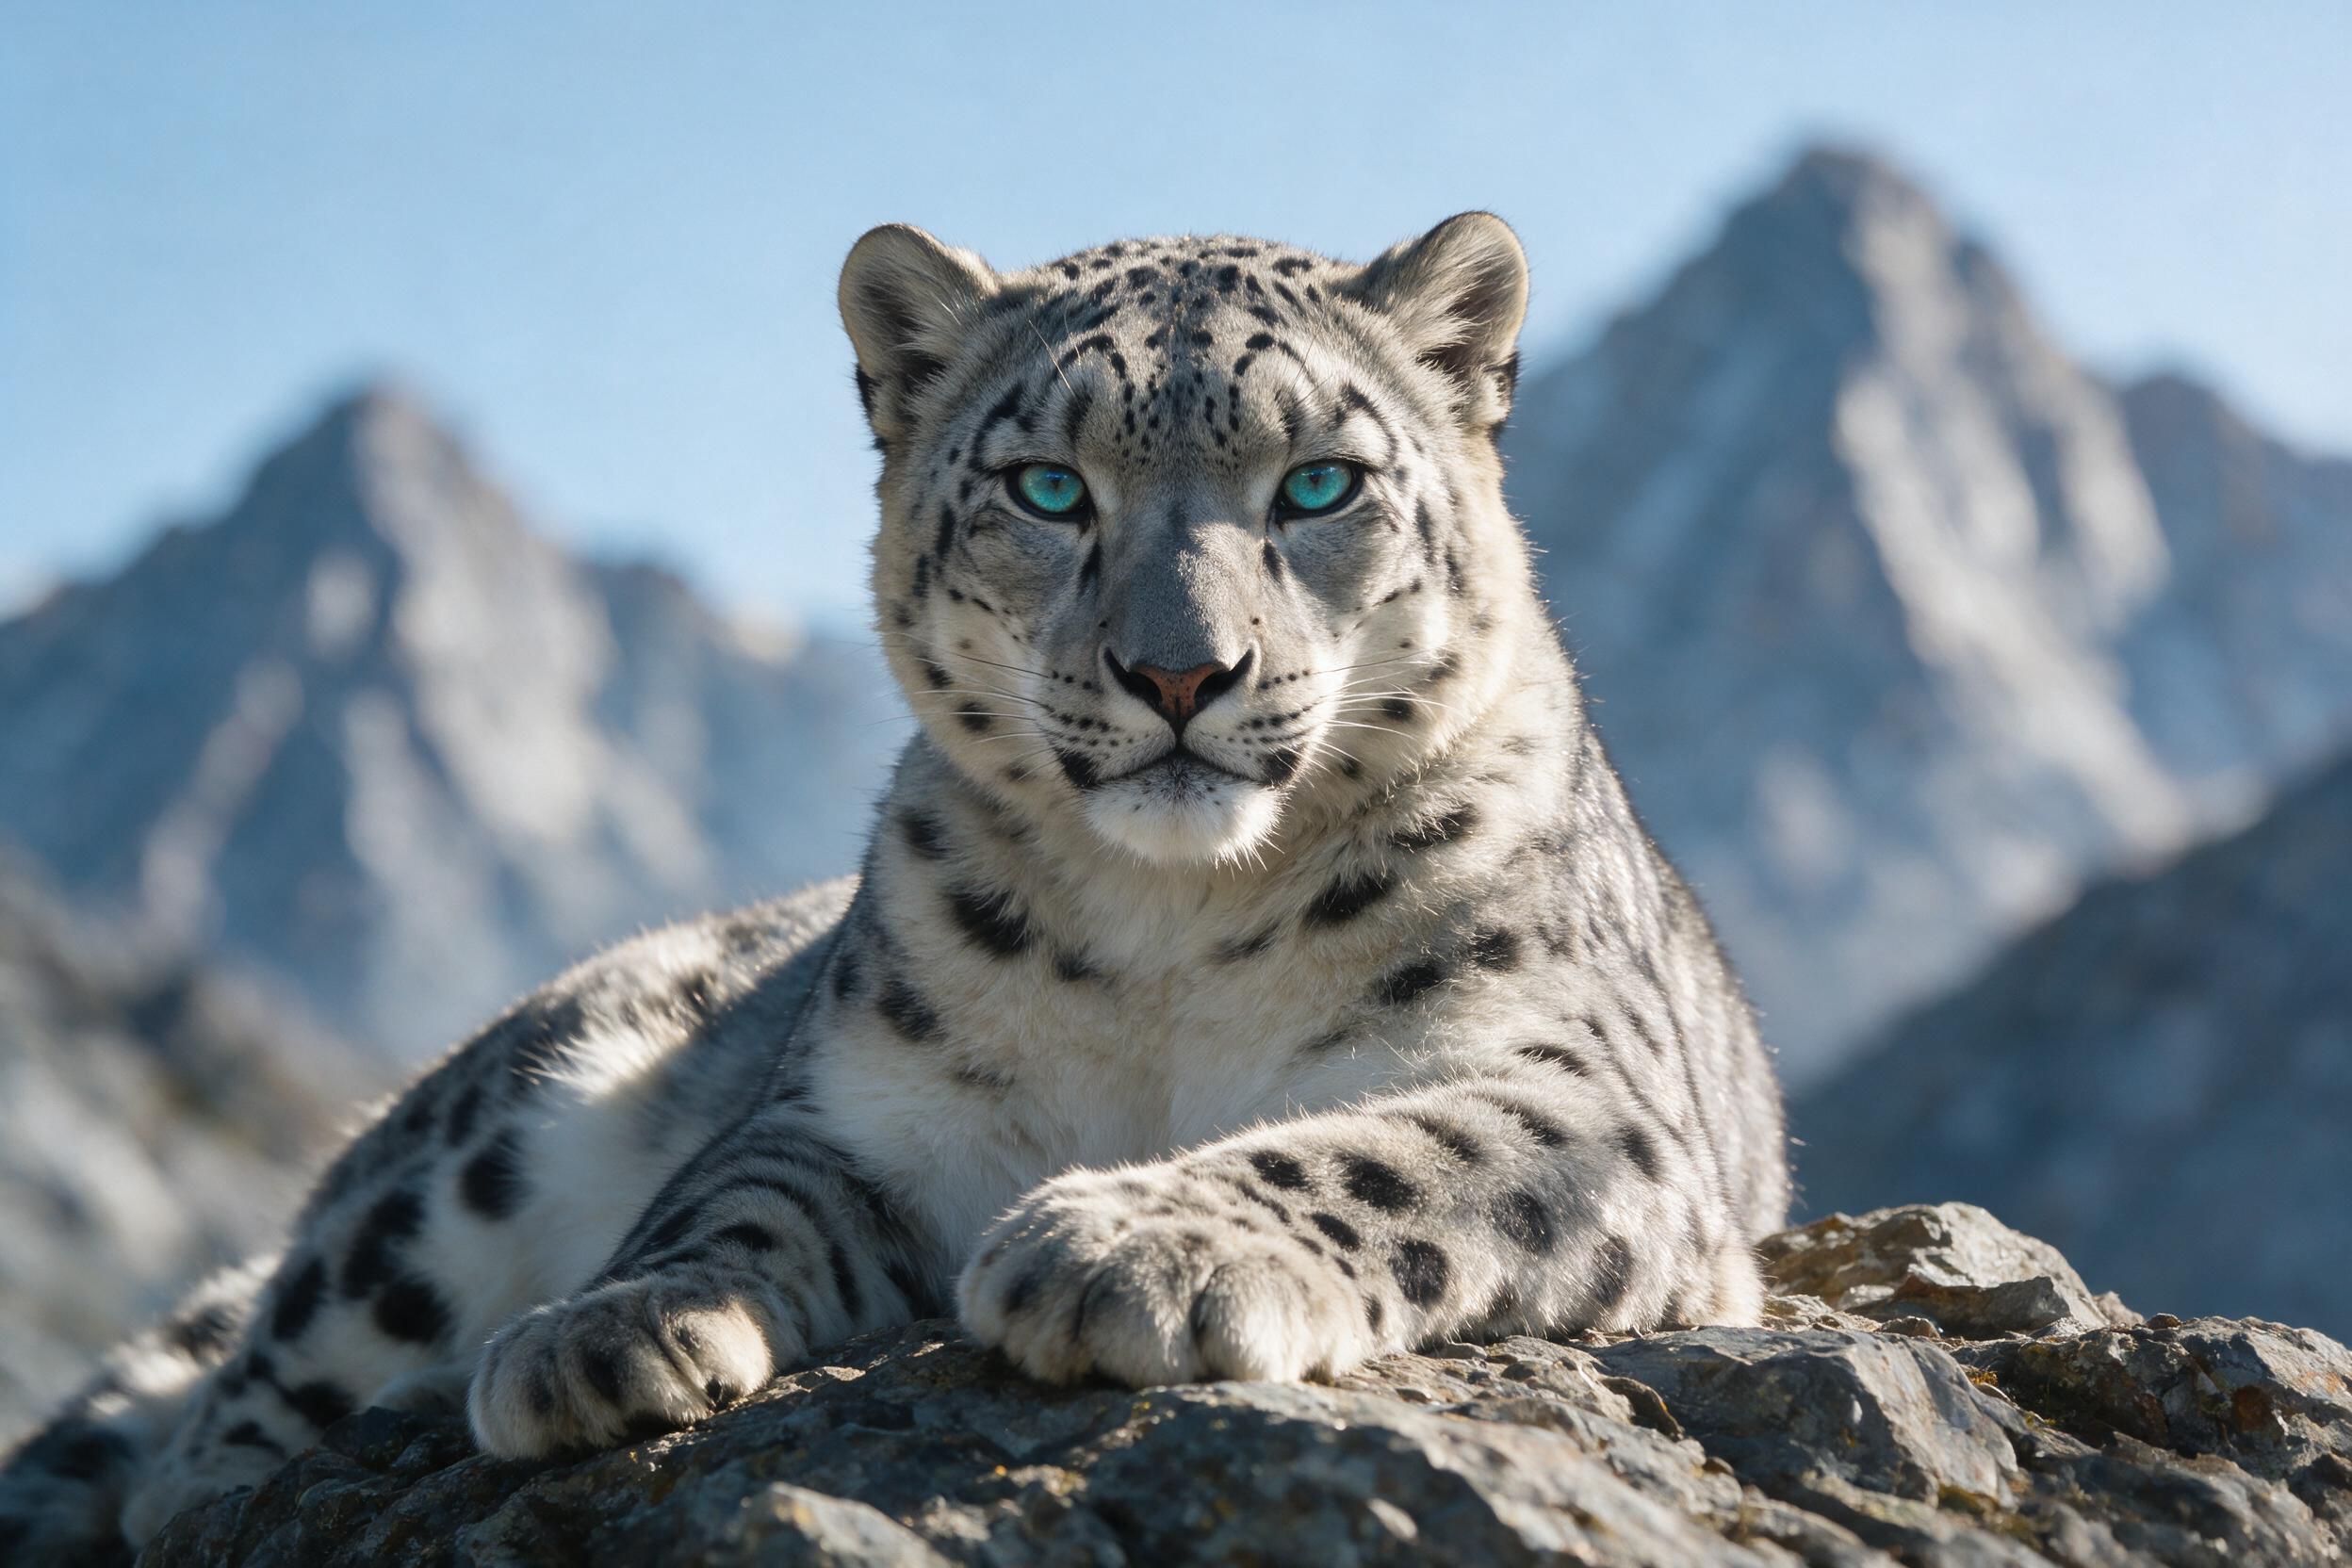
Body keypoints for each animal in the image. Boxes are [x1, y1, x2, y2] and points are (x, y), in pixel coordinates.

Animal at [0, 212, 1787, 1559]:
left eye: (1320, 483)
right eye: (1048, 486)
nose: (1180, 673)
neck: (1175, 930)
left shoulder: (1582, 1090)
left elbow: (1388, 1149)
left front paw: (1126, 1248)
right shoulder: (861, 1105)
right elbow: (731, 1198)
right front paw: (608, 1334)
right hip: (449, 1171)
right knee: (212, 1419)